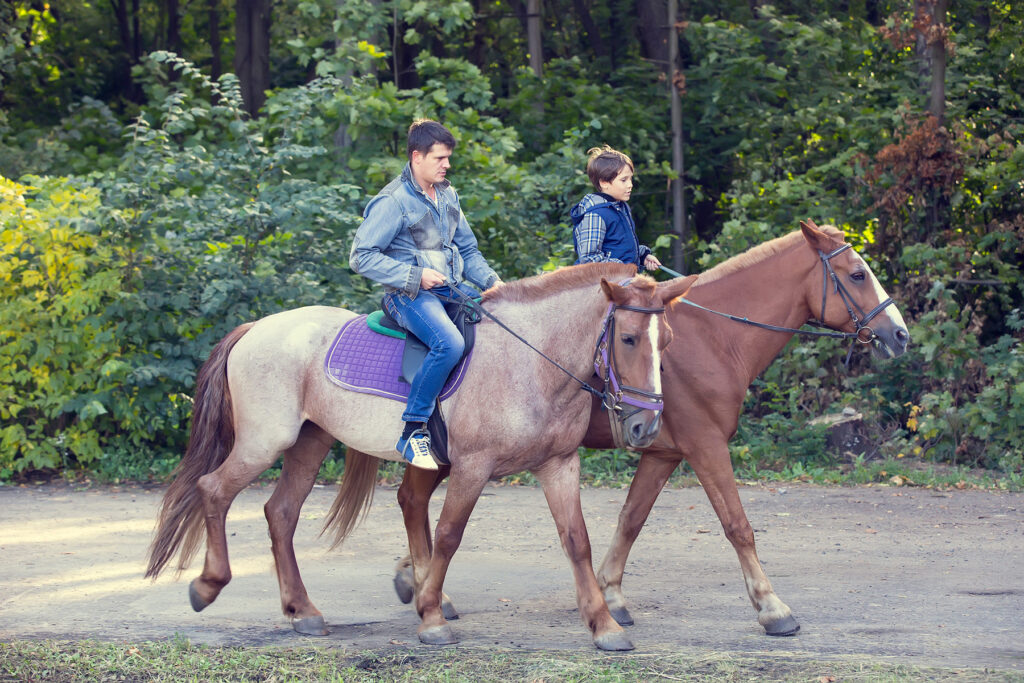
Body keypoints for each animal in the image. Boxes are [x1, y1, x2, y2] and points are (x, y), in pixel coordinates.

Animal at [144, 262, 697, 651]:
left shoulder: (559, 464)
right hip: (266, 441)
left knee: (281, 513)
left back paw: (303, 612)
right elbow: (450, 535)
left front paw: (604, 626)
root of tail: (256, 328)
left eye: (668, 340)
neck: (530, 363)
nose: (645, 426)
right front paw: (430, 615)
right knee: (214, 490)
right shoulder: (473, 467)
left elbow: (576, 540)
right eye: (628, 338)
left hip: (310, 442)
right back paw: (209, 585)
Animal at [375, 220, 910, 638]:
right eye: (857, 274)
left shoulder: (663, 452)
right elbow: (737, 525)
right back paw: (424, 588)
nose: (901, 334)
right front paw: (772, 607)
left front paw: (609, 596)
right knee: (414, 501)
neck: (713, 339)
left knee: (411, 500)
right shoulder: (705, 446)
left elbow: (631, 519)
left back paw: (417, 583)